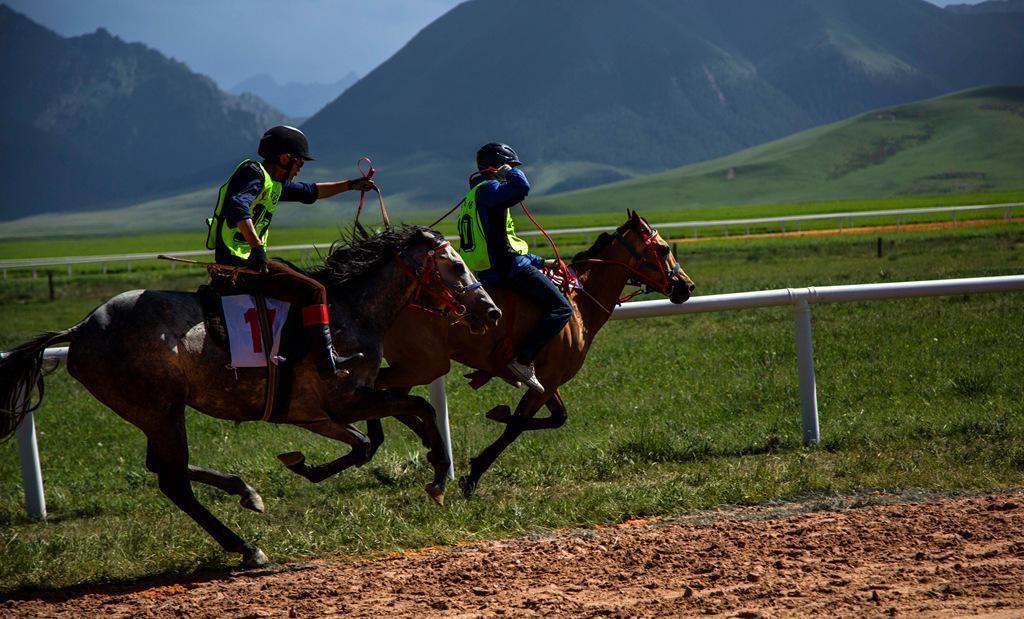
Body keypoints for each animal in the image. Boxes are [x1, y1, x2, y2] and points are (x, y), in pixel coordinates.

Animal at [0, 224, 499, 569]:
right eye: (456, 266)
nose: (491, 310)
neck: (350, 311)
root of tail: (80, 329)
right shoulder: (345, 400)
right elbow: (416, 408)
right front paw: (439, 475)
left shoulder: (319, 412)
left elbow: (373, 437)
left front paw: (307, 465)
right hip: (161, 410)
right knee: (173, 481)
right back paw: (246, 548)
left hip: (155, 414)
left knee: (163, 467)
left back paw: (245, 492)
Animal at [376, 213, 696, 498]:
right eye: (664, 248)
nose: (687, 285)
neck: (577, 304)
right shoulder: (546, 380)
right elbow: (518, 425)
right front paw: (474, 473)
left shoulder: (547, 381)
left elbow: (557, 418)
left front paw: (497, 415)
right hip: (424, 364)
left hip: (414, 366)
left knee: (395, 402)